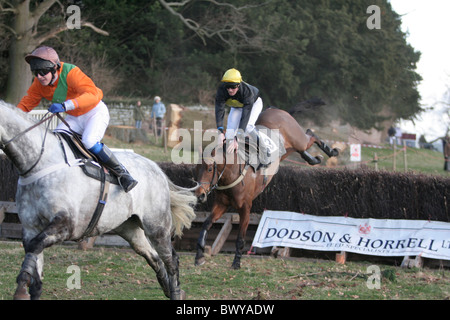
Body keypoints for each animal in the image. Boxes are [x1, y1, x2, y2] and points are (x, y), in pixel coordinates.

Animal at [193, 107, 338, 270]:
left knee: (310, 135)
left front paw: (236, 262)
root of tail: (276, 109)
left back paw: (331, 151)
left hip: (298, 139)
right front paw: (199, 256)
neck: (231, 173)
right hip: (288, 149)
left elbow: (240, 237)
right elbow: (206, 225)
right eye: (196, 169)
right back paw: (314, 159)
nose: (199, 195)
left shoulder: (245, 207)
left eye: (210, 169)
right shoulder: (221, 204)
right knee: (302, 147)